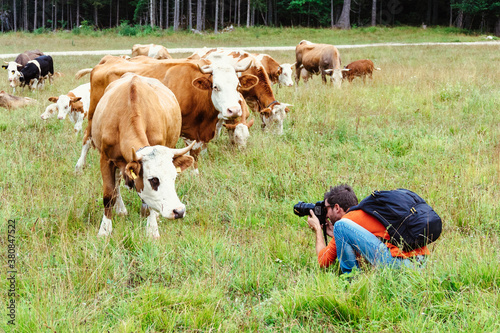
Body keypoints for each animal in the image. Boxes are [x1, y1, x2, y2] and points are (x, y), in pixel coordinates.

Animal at [74, 53, 260, 174]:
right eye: (216, 86)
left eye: (237, 86)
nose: (233, 110)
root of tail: (106, 61)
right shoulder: (185, 130)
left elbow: (197, 152)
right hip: (93, 114)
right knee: (86, 137)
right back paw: (79, 166)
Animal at [91, 73, 194, 239]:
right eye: (153, 180)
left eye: (174, 177)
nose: (179, 211)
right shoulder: (106, 160)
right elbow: (108, 195)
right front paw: (105, 230)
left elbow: (148, 204)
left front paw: (152, 230)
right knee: (117, 183)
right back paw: (121, 209)